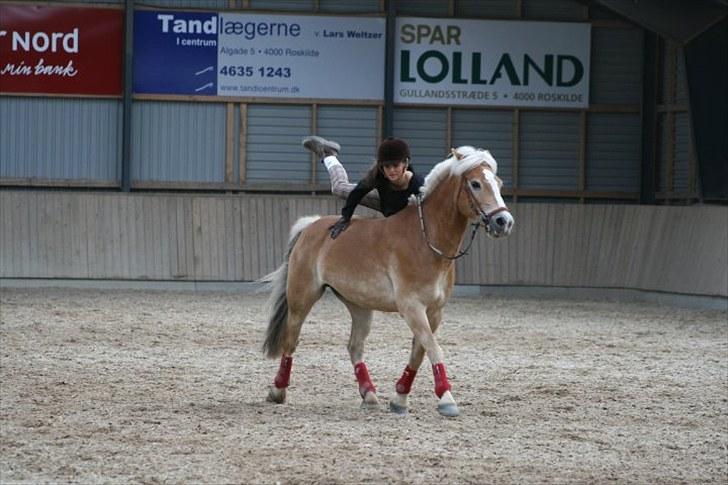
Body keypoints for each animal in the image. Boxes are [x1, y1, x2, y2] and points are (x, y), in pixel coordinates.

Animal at [260, 144, 512, 416]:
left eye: (498, 183)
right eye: (475, 184)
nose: (503, 222)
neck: (426, 240)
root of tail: (310, 226)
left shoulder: (434, 311)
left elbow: (419, 352)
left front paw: (400, 398)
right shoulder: (412, 307)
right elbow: (434, 348)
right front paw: (446, 399)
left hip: (358, 305)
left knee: (354, 346)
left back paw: (369, 395)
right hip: (302, 299)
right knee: (290, 341)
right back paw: (277, 391)